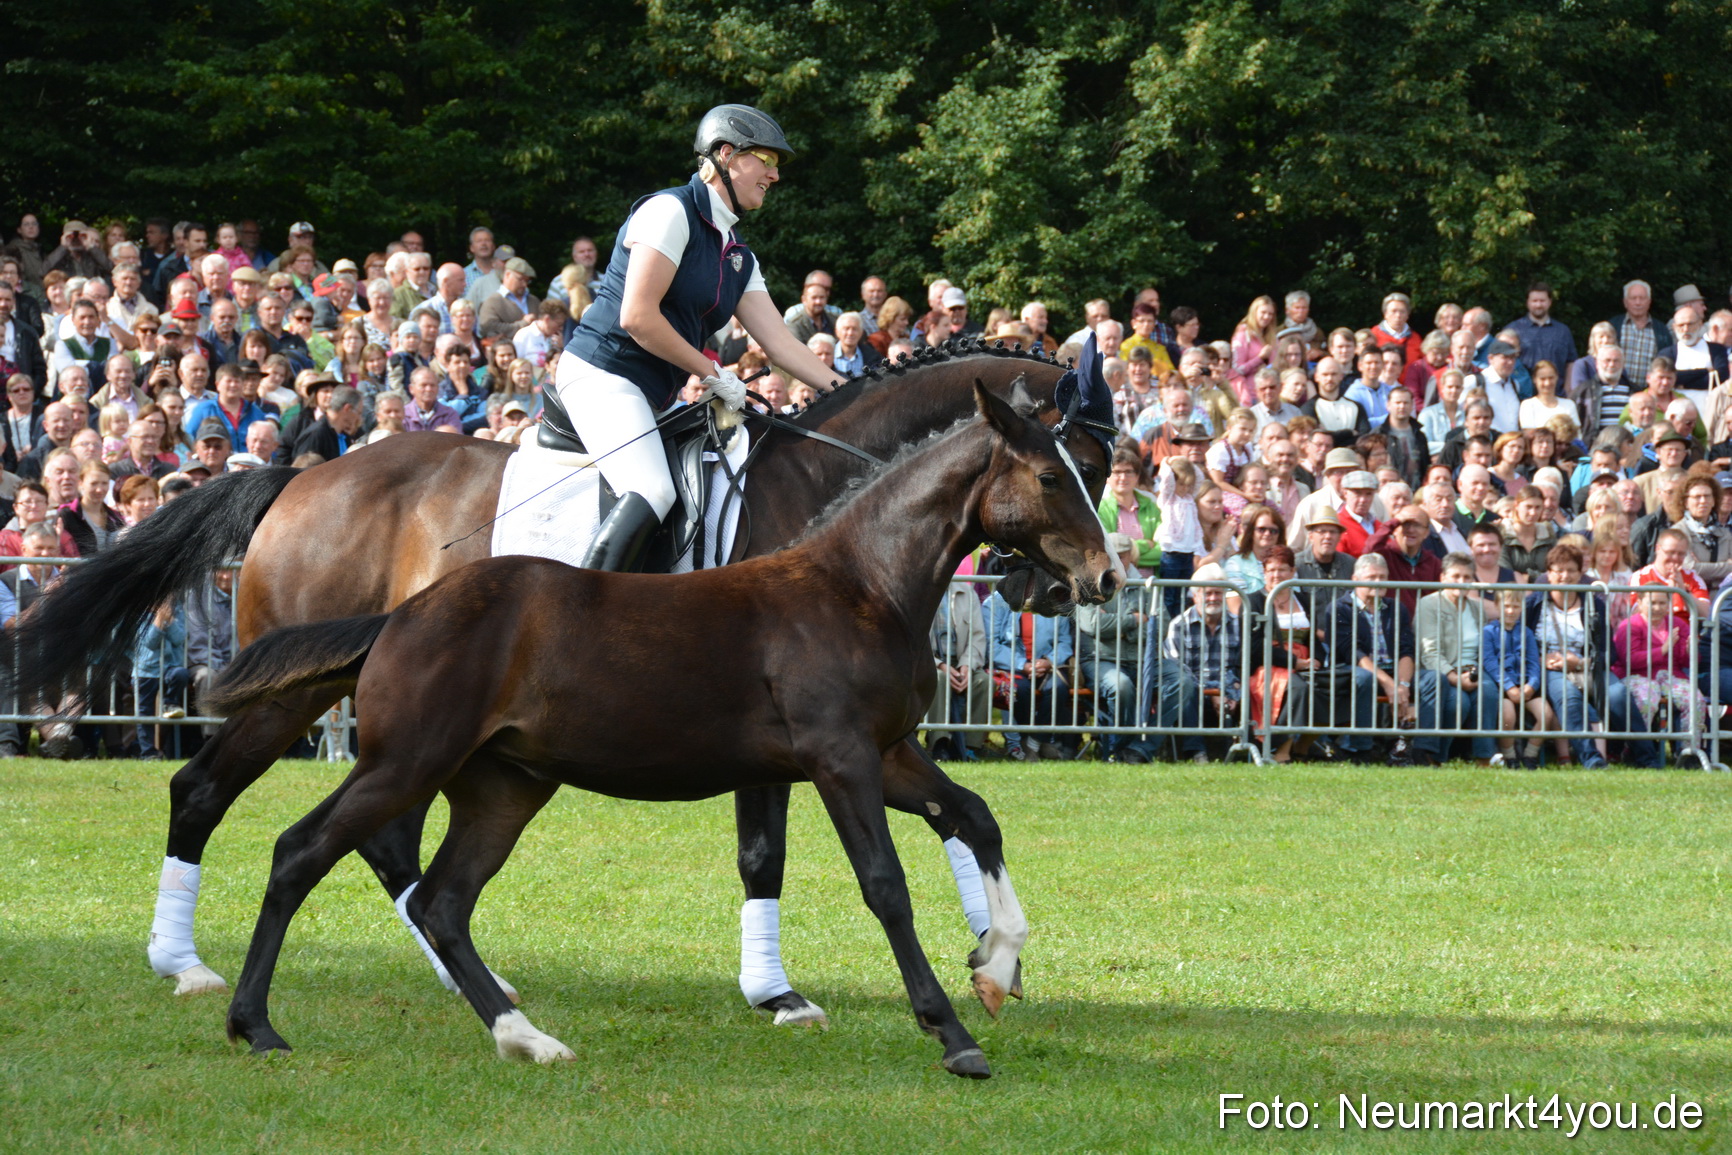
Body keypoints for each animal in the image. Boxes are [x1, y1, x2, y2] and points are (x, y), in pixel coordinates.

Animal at [6, 340, 1108, 1020]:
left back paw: (461, 972)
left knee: (388, 840)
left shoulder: (855, 737)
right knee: (208, 790)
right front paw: (780, 992)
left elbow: (959, 816)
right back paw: (186, 962)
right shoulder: (796, 740)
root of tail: (300, 477)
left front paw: (991, 951)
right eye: (1076, 468)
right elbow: (768, 856)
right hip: (299, 693)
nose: (1082, 585)